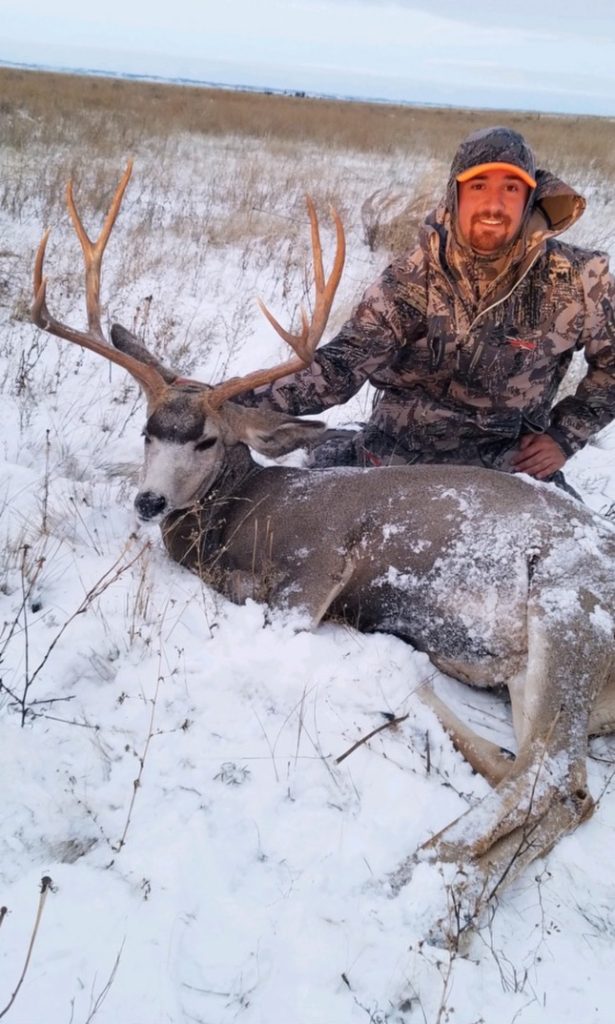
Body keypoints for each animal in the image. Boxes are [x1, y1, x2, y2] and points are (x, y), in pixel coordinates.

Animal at [32, 163, 615, 946]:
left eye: (206, 439)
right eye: (148, 429)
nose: (148, 502)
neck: (248, 509)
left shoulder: (313, 567)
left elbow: (267, 593)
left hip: (569, 610)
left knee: (550, 776)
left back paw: (425, 880)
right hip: (538, 669)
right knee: (564, 788)